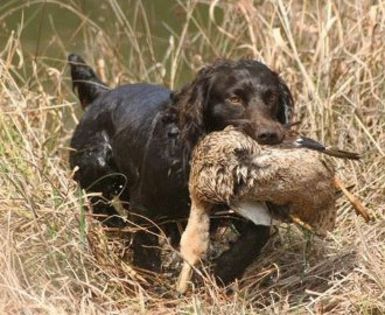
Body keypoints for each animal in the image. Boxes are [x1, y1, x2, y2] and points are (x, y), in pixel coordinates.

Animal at [67, 53, 294, 284]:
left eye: (271, 97)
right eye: (235, 99)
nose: (270, 134)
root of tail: (103, 94)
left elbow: (257, 234)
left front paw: (223, 270)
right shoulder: (145, 209)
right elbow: (146, 255)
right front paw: (154, 284)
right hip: (95, 163)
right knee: (101, 205)